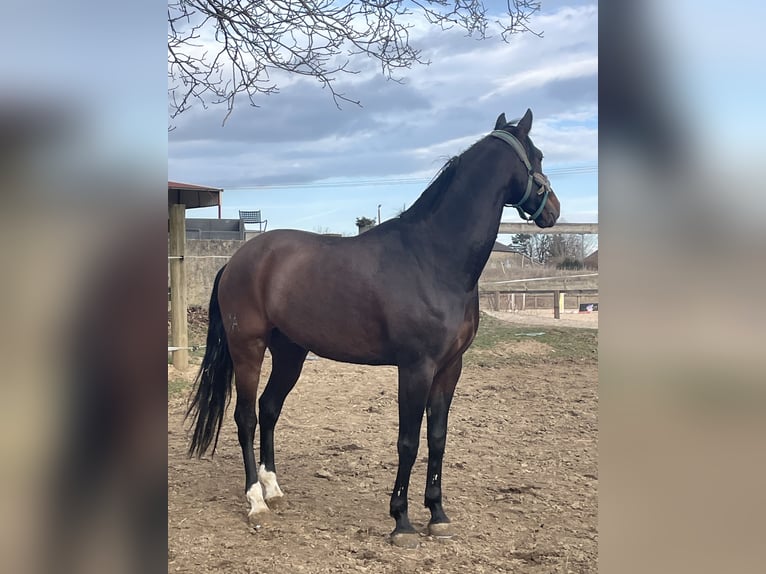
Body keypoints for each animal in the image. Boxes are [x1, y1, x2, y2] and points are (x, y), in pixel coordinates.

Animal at [189, 111, 560, 548]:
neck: (433, 258)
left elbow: (437, 438)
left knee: (269, 408)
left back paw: (274, 489)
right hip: (248, 347)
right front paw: (402, 521)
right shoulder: (415, 367)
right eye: (538, 155)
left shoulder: (450, 367)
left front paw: (438, 515)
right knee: (246, 416)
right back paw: (256, 502)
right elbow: (408, 441)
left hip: (290, 352)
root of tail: (237, 260)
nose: (553, 210)